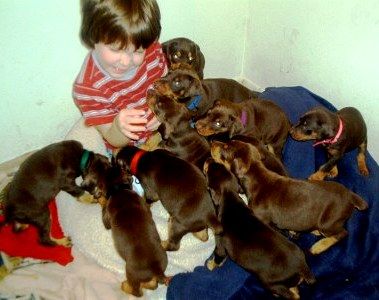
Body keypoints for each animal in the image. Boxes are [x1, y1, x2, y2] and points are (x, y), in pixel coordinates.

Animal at [101, 169, 168, 298]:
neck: (119, 190)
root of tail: (156, 268)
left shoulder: (107, 214)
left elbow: (105, 219)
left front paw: (101, 200)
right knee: (153, 284)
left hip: (131, 274)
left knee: (138, 293)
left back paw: (126, 287)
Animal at [203, 158, 316, 298]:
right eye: (218, 164)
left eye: (208, 169)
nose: (208, 159)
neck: (229, 197)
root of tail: (302, 266)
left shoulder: (220, 243)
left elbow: (218, 255)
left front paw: (211, 265)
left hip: (269, 283)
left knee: (291, 295)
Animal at [211, 139, 368, 254]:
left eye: (225, 147)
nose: (212, 141)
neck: (256, 175)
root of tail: (351, 195)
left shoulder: (262, 219)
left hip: (329, 222)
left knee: (343, 233)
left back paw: (319, 246)